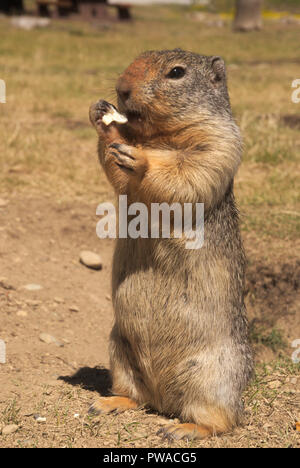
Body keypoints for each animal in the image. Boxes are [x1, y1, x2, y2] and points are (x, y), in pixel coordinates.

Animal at [88, 49, 253, 440]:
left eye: (176, 72)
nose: (121, 88)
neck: (157, 137)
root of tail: (164, 401)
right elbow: (121, 179)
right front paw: (102, 116)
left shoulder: (220, 143)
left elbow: (187, 173)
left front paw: (142, 159)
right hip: (119, 351)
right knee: (136, 397)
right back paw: (108, 403)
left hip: (215, 377)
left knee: (223, 421)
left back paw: (184, 429)